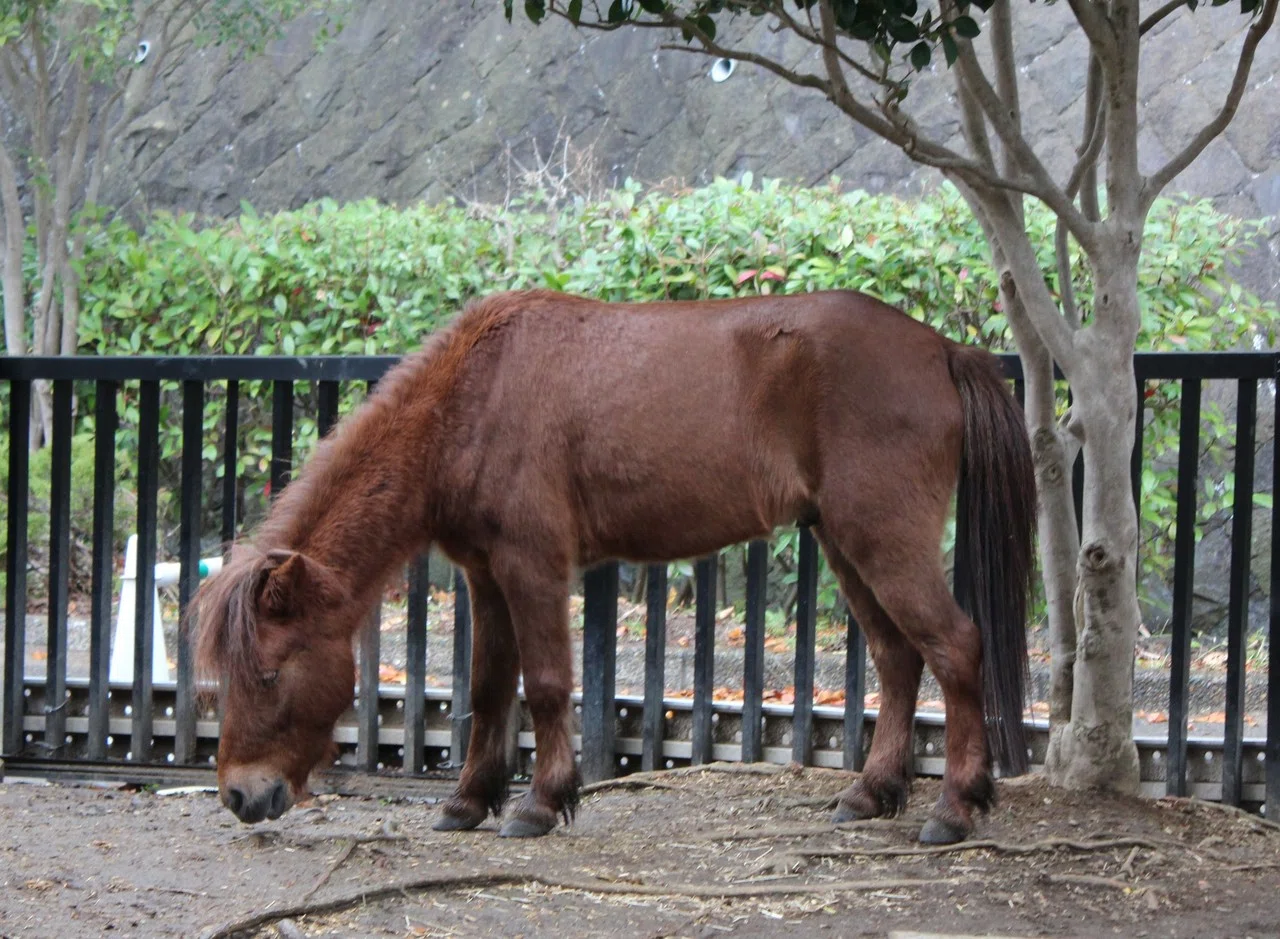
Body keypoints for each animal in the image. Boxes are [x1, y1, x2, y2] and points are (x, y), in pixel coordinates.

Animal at [192, 287, 1036, 845]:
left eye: (268, 672)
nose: (238, 795)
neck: (472, 397)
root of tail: (941, 349)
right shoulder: (484, 576)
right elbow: (489, 688)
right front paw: (468, 801)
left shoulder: (531, 564)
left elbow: (545, 685)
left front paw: (540, 802)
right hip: (845, 545)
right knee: (899, 659)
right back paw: (871, 792)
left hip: (881, 541)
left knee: (955, 647)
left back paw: (955, 807)